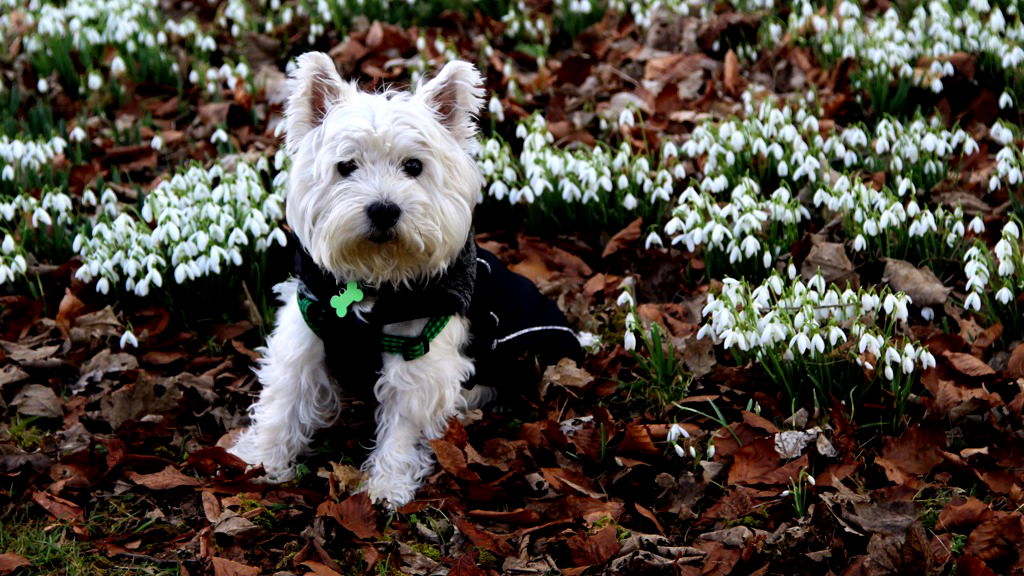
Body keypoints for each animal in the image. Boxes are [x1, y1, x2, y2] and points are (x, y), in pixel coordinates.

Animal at [234, 52, 585, 502]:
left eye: (414, 166)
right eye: (346, 166)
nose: (384, 210)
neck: (371, 284)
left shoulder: (419, 355)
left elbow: (403, 425)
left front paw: (388, 485)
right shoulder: (306, 333)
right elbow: (283, 402)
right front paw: (259, 460)